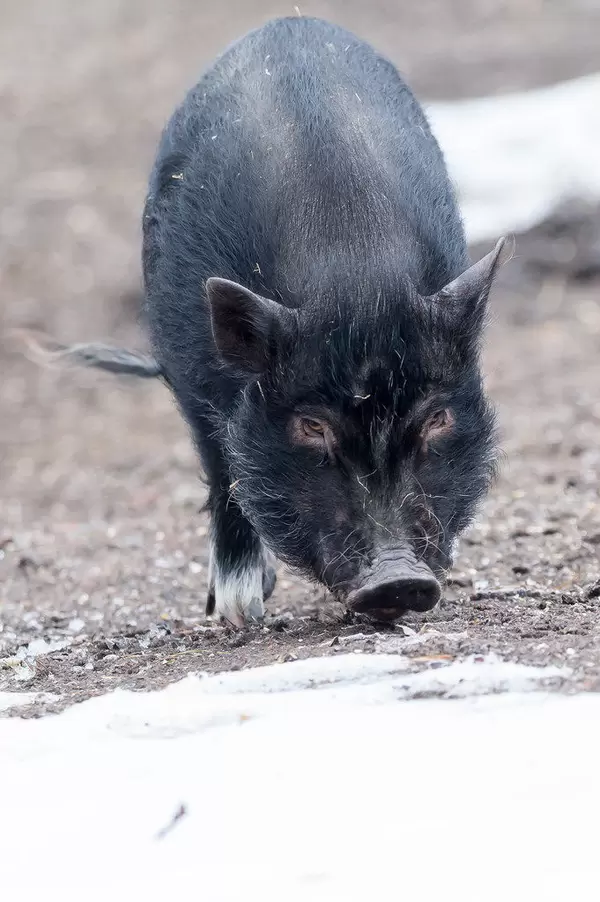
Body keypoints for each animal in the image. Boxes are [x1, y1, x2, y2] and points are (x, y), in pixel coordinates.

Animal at [38, 17, 507, 626]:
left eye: (436, 419)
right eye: (311, 426)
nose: (399, 578)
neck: (353, 271)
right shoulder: (191, 376)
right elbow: (228, 471)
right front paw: (242, 616)